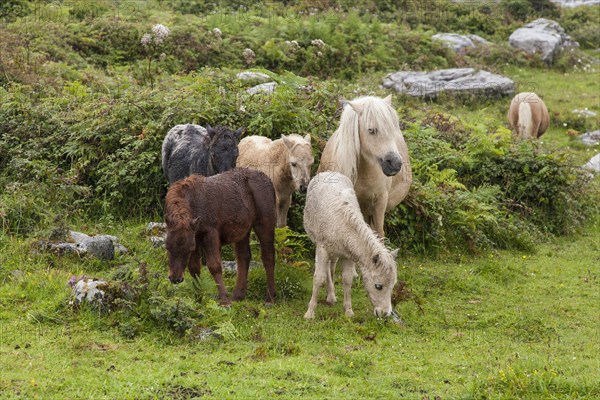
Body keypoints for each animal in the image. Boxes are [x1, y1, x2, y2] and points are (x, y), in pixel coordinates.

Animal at [164, 167, 276, 304]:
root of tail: (268, 180)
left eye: (188, 250)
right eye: (167, 247)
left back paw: (270, 298)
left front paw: (224, 299)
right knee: (243, 257)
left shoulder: (210, 235)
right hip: (243, 231)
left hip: (264, 224)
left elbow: (214, 266)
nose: (175, 278)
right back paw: (238, 295)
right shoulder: (195, 238)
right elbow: (194, 268)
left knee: (268, 256)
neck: (194, 205)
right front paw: (198, 298)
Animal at [304, 172, 398, 318]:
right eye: (378, 286)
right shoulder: (322, 249)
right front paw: (309, 313)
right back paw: (330, 297)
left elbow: (347, 280)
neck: (343, 225)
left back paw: (331, 295)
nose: (385, 313)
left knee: (331, 267)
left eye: (393, 285)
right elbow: (319, 278)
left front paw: (348, 311)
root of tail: (329, 172)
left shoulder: (347, 255)